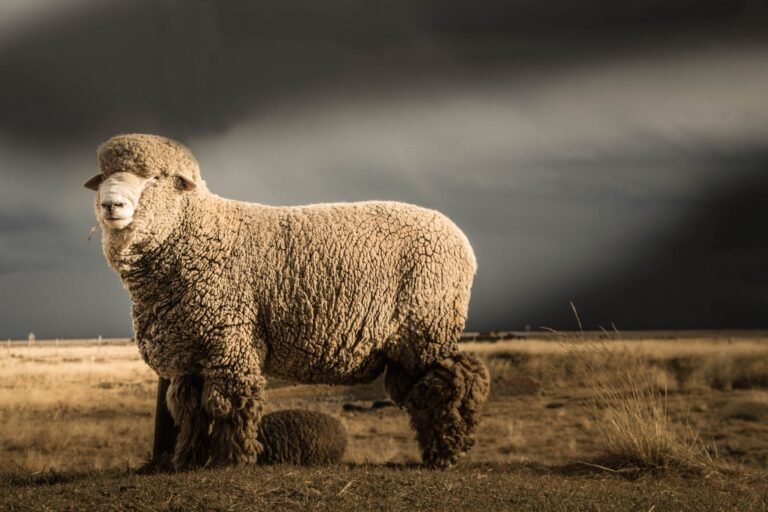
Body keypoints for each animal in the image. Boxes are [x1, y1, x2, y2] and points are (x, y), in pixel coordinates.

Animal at [84, 133, 490, 470]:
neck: (197, 232)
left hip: (427, 326)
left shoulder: (230, 340)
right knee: (425, 387)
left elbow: (228, 404)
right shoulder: (190, 352)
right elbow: (190, 411)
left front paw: (231, 461)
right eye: (104, 176)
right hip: (410, 343)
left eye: (155, 177)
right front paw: (187, 460)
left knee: (455, 378)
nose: (111, 205)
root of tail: (461, 239)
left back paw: (446, 453)